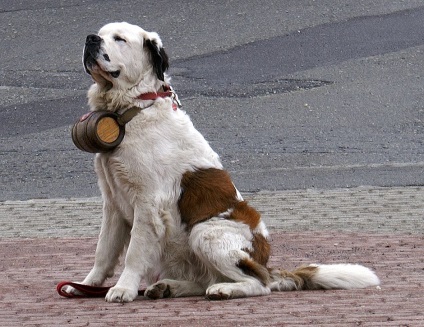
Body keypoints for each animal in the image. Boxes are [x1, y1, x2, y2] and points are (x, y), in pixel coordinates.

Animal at [68, 23, 380, 304]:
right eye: (100, 33)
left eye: (119, 39)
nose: (90, 38)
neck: (133, 108)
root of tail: (267, 264)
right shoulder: (113, 203)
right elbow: (103, 250)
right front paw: (86, 284)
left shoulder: (148, 204)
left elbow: (134, 252)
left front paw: (123, 288)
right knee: (206, 280)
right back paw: (169, 287)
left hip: (205, 231)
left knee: (259, 283)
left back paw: (224, 290)